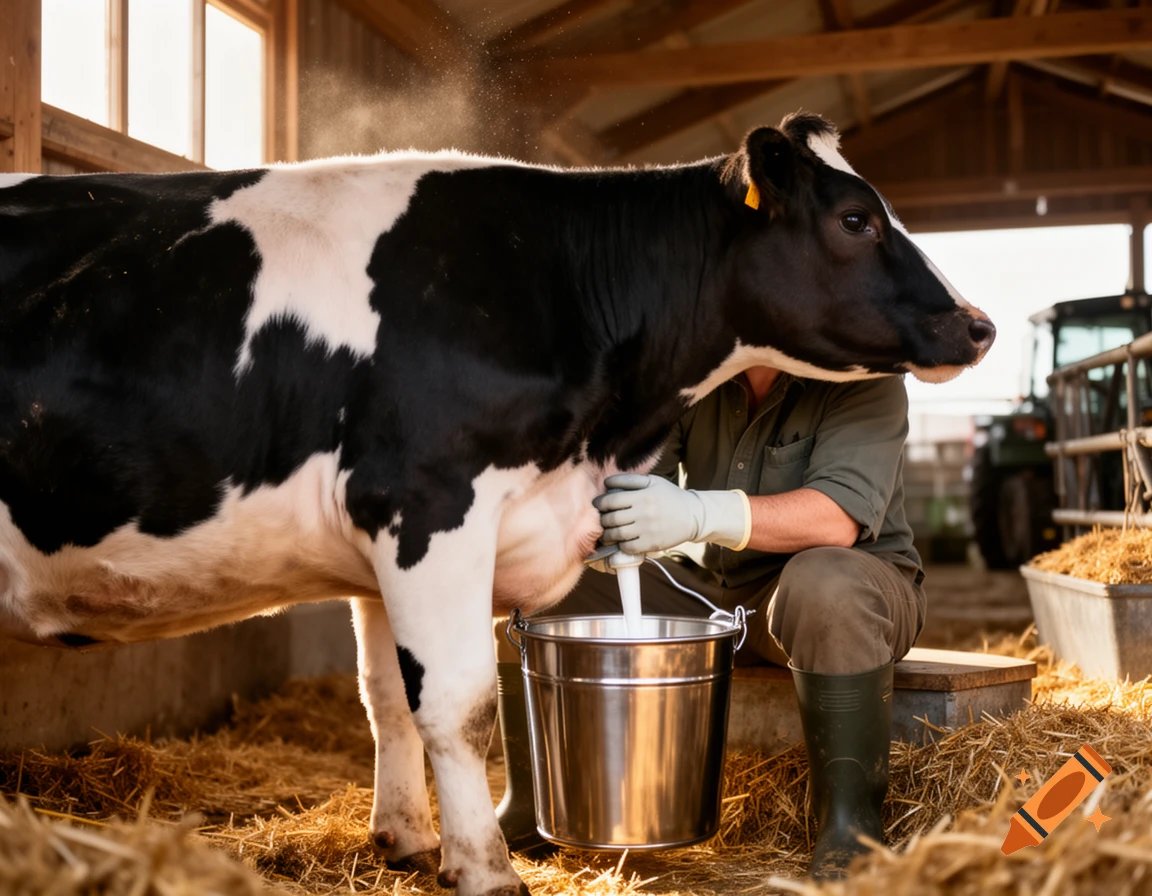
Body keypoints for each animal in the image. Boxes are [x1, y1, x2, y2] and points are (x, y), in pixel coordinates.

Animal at [0, 113, 993, 896]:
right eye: (856, 219)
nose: (978, 324)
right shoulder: (427, 501)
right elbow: (456, 703)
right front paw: (485, 867)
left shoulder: (385, 542)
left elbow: (386, 697)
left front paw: (407, 840)